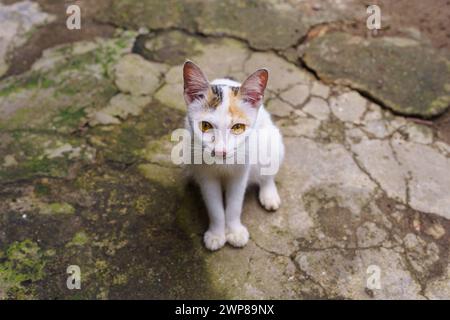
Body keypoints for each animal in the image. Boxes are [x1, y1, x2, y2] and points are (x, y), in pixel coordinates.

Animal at [181, 60, 284, 250]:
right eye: (205, 126)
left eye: (238, 128)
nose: (220, 151)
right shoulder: (206, 175)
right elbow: (214, 207)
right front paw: (217, 234)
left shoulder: (241, 172)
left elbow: (235, 204)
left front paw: (235, 232)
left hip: (271, 141)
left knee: (267, 174)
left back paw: (269, 195)